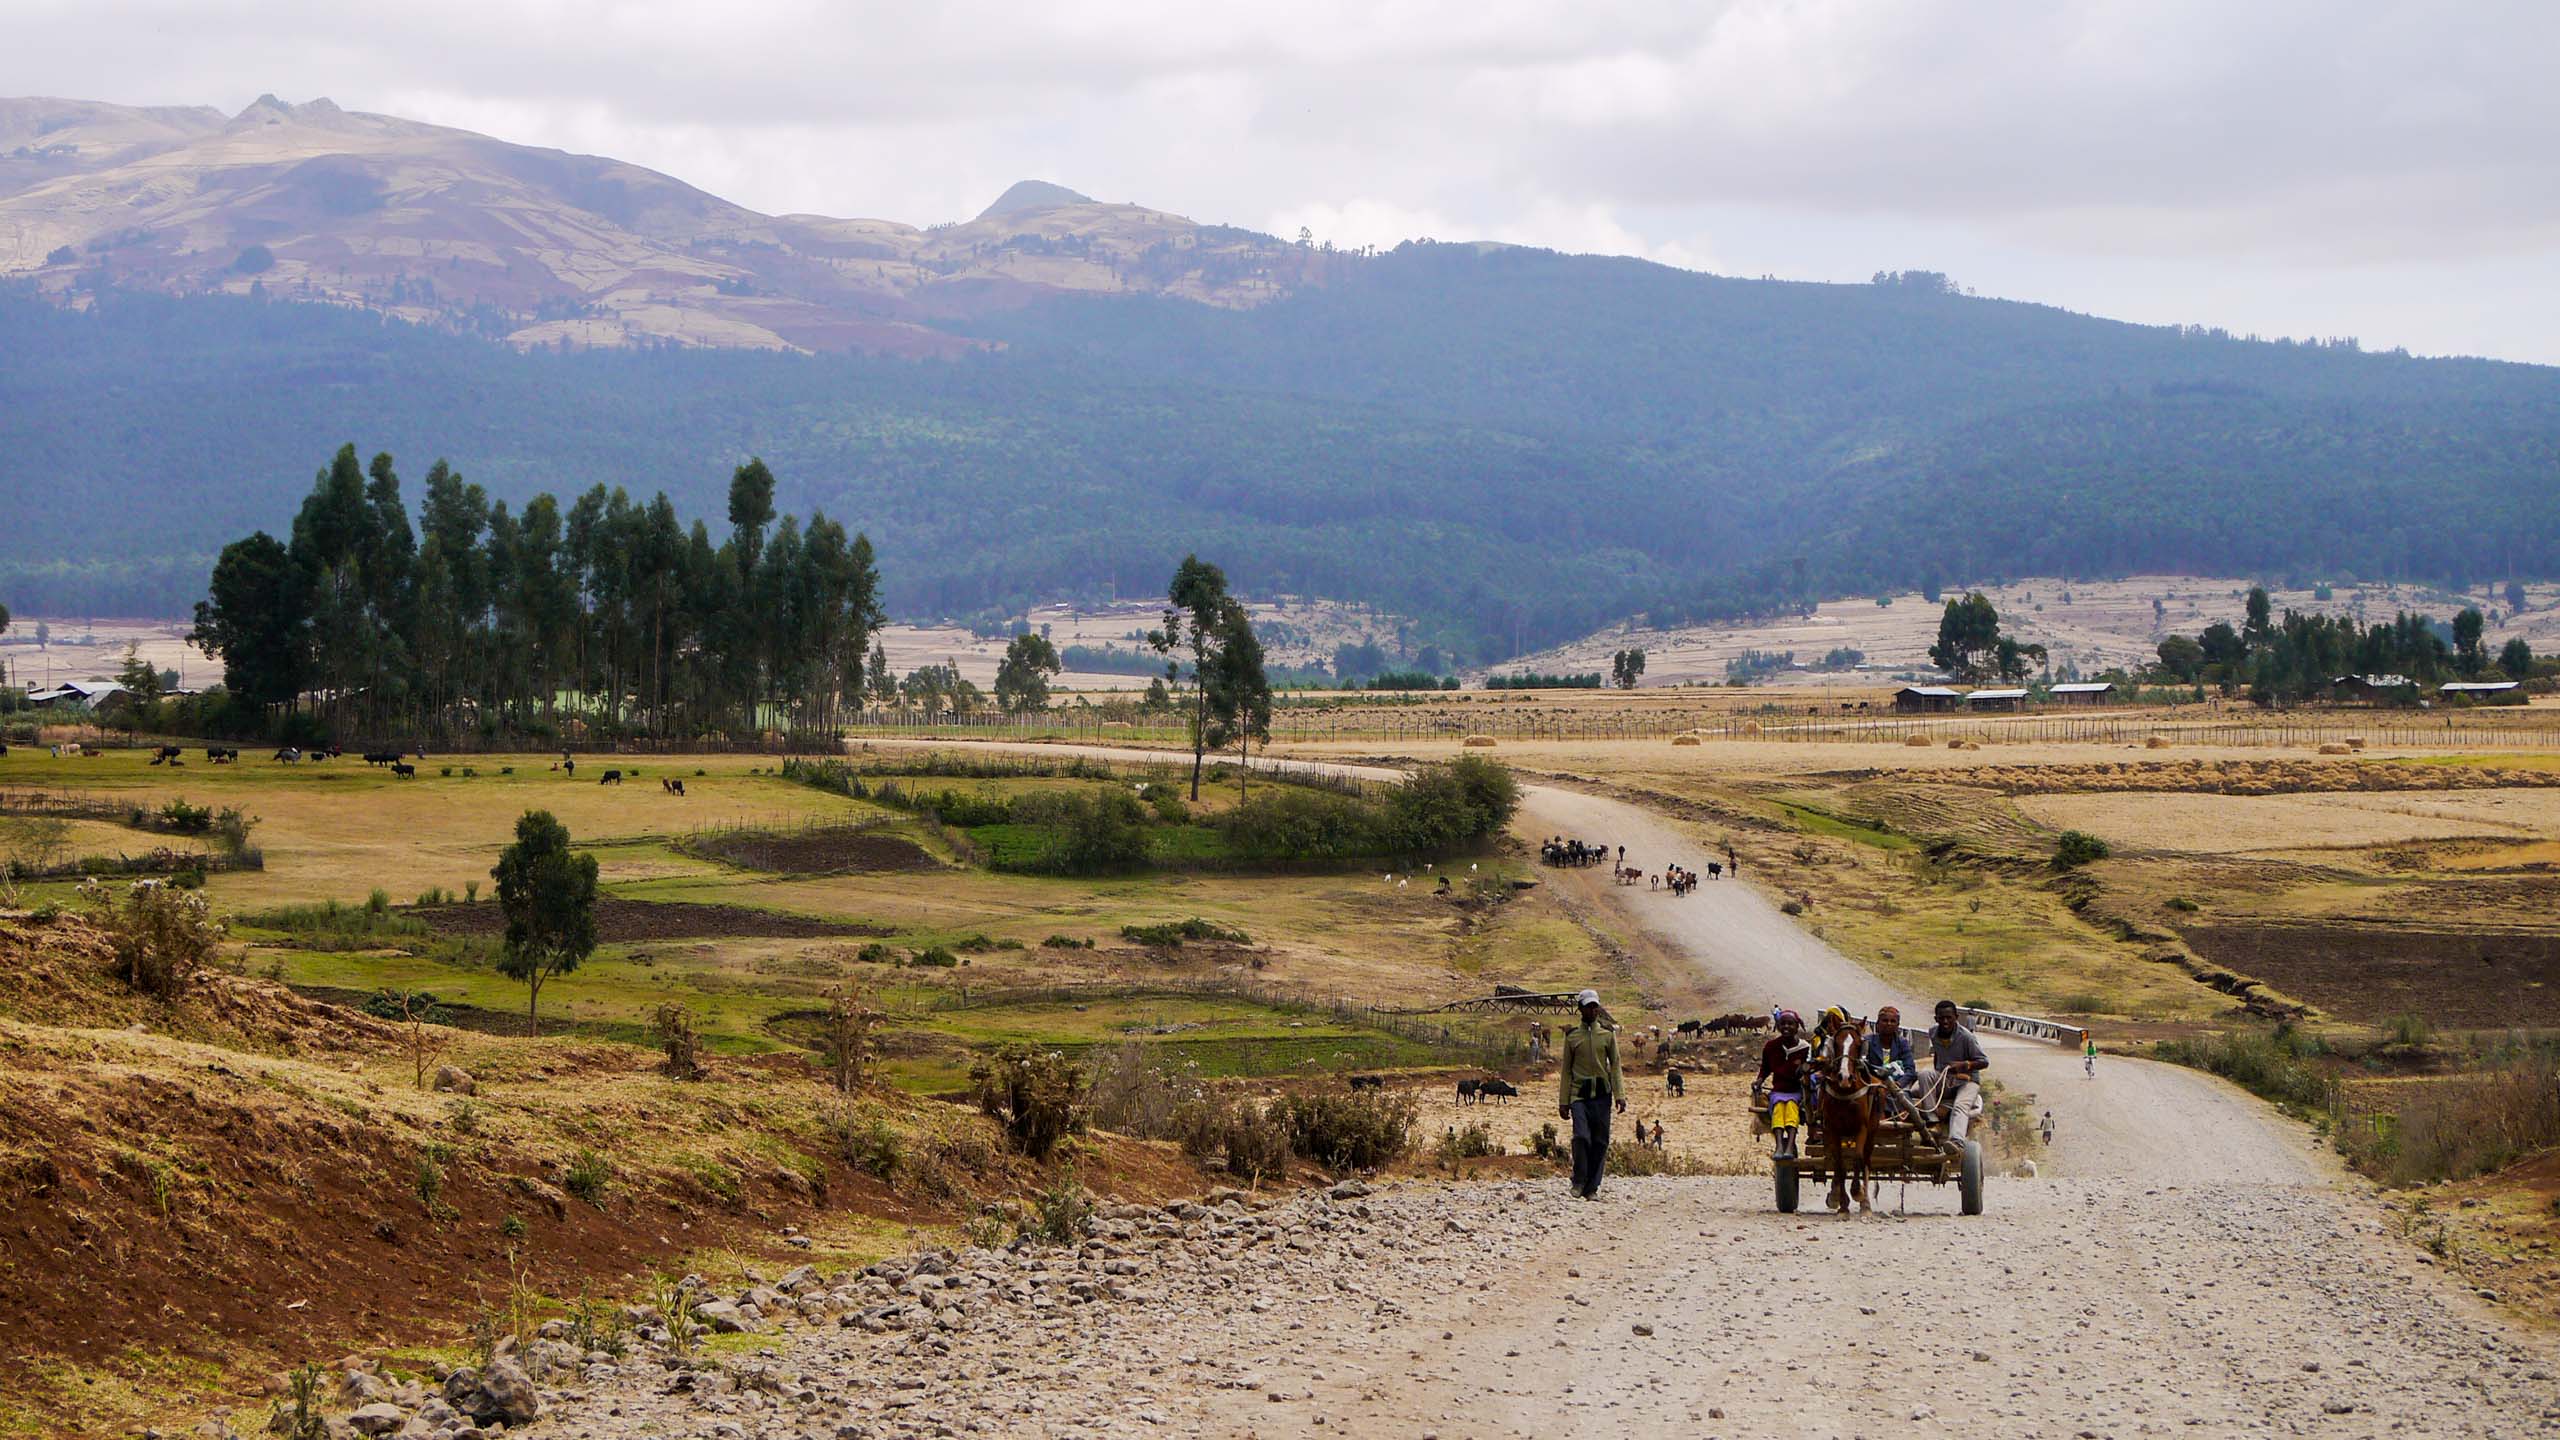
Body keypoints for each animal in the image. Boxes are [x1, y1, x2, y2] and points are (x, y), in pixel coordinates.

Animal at [1822, 1009, 1884, 1209]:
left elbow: (1857, 1159)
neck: (1846, 1091)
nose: (1844, 1077)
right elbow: (1839, 1164)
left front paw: (1857, 1192)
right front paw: (1841, 1203)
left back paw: (1866, 1204)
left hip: (1873, 1130)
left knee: (1866, 1160)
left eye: (1858, 1045)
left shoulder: (1861, 1127)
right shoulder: (1832, 1128)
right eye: (1836, 1043)